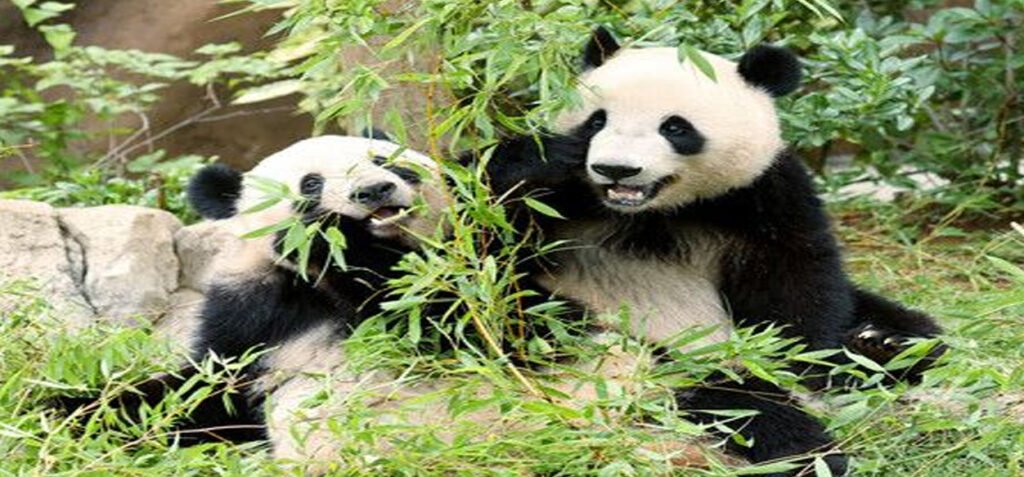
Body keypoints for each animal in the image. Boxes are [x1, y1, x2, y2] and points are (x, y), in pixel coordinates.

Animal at [53, 135, 449, 446]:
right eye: (310, 184)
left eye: (384, 161)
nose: (373, 191)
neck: (315, 285)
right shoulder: (253, 314)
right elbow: (201, 392)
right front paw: (65, 412)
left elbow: (429, 320)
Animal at [475, 27, 946, 476]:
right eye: (596, 121)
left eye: (675, 127)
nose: (616, 169)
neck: (649, 213)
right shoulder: (551, 205)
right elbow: (479, 276)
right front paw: (540, 160)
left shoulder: (761, 195)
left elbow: (795, 289)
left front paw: (818, 359)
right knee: (738, 407)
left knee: (913, 332)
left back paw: (882, 345)